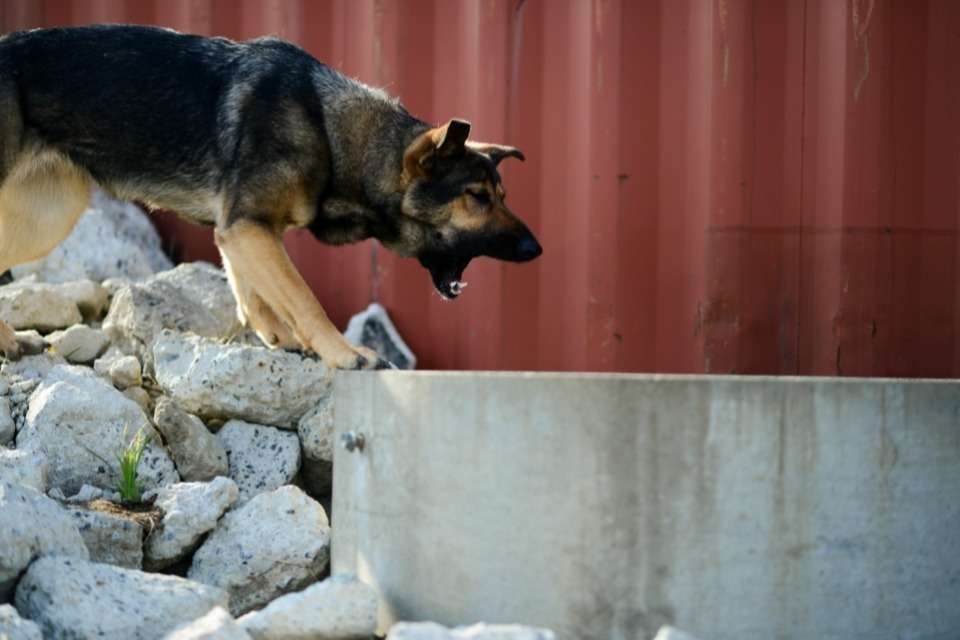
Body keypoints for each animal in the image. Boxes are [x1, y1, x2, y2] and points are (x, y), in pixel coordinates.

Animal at [0, 25, 540, 370]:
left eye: (501, 194)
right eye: (476, 196)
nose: (535, 249)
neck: (333, 136)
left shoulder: (241, 229)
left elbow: (252, 291)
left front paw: (277, 336)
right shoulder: (248, 228)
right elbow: (303, 297)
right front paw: (344, 353)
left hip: (48, 214)